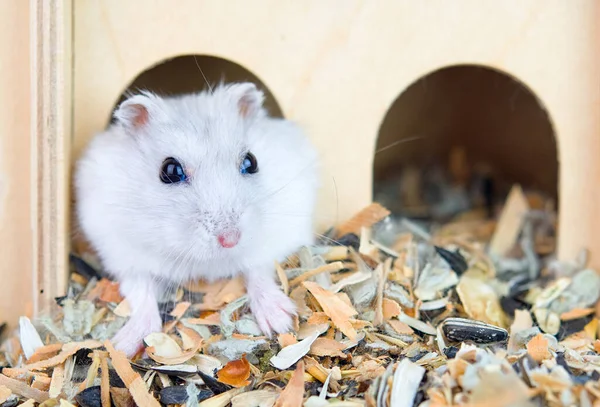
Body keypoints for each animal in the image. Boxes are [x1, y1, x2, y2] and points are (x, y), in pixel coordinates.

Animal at [74, 83, 322, 356]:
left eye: (251, 161)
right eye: (170, 171)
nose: (230, 240)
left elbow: (259, 270)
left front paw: (281, 322)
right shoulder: (123, 253)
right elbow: (141, 291)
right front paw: (123, 347)